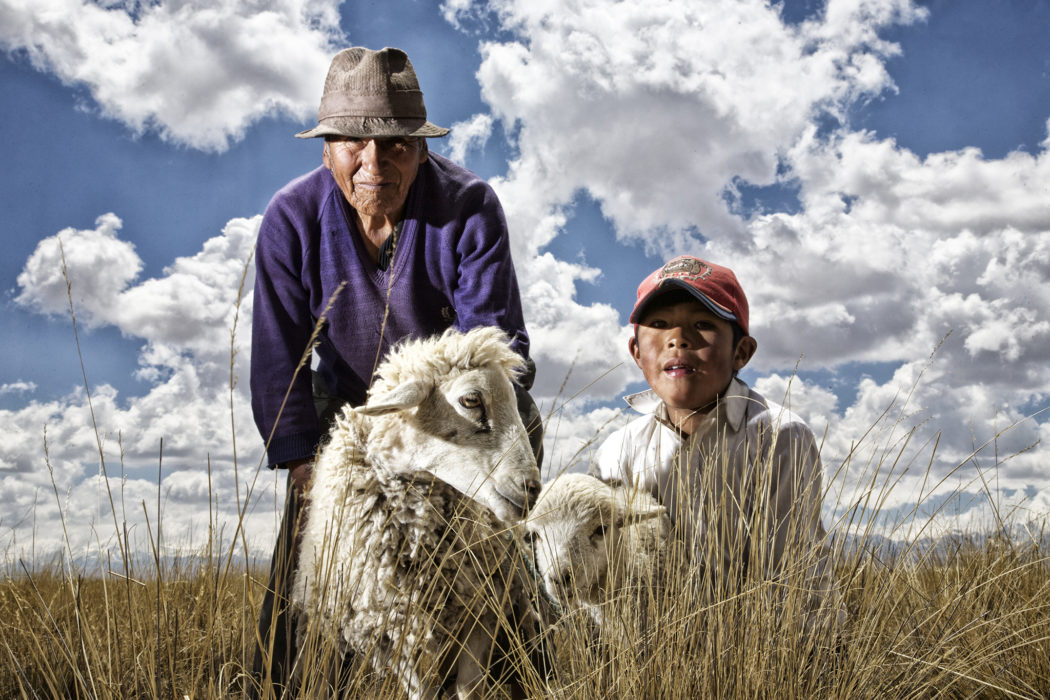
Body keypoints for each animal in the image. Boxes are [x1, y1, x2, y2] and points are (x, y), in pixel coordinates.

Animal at [289, 329, 546, 700]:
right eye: (471, 400)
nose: (532, 488)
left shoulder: (481, 615)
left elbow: (470, 688)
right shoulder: (388, 633)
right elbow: (421, 693)